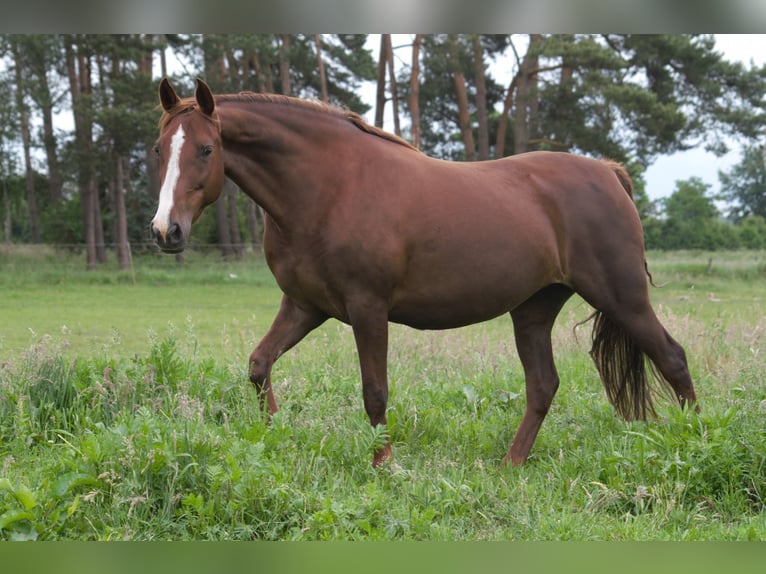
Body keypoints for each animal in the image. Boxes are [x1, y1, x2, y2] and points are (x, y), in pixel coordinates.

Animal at [150, 78, 698, 468]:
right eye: (159, 150)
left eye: (205, 149)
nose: (165, 230)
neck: (330, 186)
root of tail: (608, 172)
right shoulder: (305, 306)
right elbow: (259, 365)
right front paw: (275, 434)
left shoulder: (368, 308)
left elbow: (374, 392)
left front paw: (385, 465)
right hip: (534, 310)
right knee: (543, 384)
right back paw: (510, 465)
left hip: (622, 297)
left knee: (672, 358)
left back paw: (697, 441)